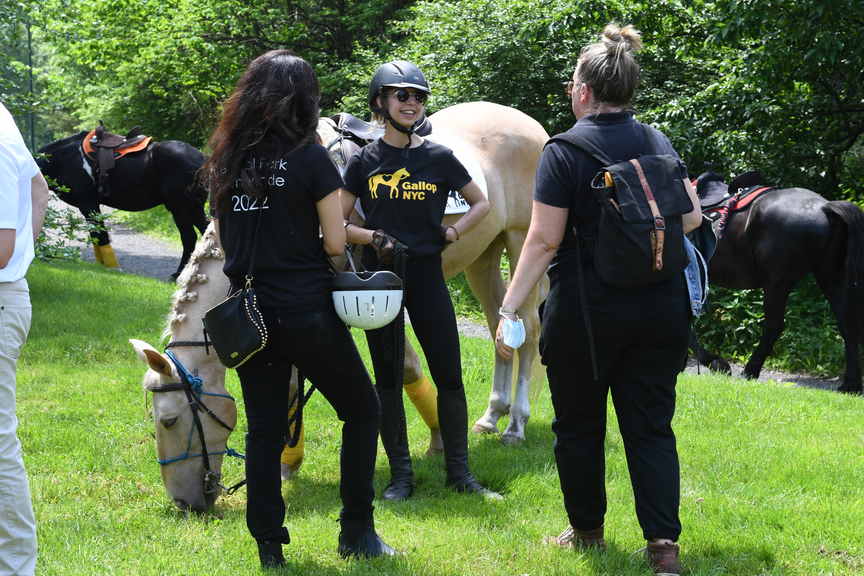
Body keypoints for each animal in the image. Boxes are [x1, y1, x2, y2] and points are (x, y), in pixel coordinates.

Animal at [36, 130, 209, 279]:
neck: (66, 158)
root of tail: (202, 157)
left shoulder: (88, 204)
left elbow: (101, 236)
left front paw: (112, 268)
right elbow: (96, 236)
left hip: (181, 207)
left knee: (189, 237)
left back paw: (179, 274)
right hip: (192, 207)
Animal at [691, 172, 864, 394]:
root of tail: (824, 206)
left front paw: (716, 362)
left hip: (777, 283)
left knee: (774, 326)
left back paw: (750, 370)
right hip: (830, 278)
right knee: (847, 323)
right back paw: (850, 384)